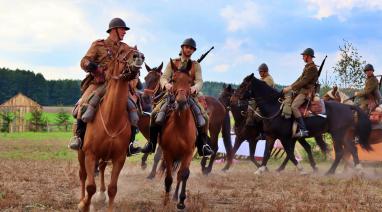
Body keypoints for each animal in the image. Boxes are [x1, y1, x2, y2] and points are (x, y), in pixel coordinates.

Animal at [77, 48, 145, 212]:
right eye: (122, 53)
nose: (139, 57)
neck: (111, 120)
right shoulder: (90, 154)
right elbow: (90, 186)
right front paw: (84, 205)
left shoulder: (119, 158)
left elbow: (112, 188)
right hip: (81, 153)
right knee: (83, 175)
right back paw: (82, 200)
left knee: (101, 169)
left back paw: (101, 196)